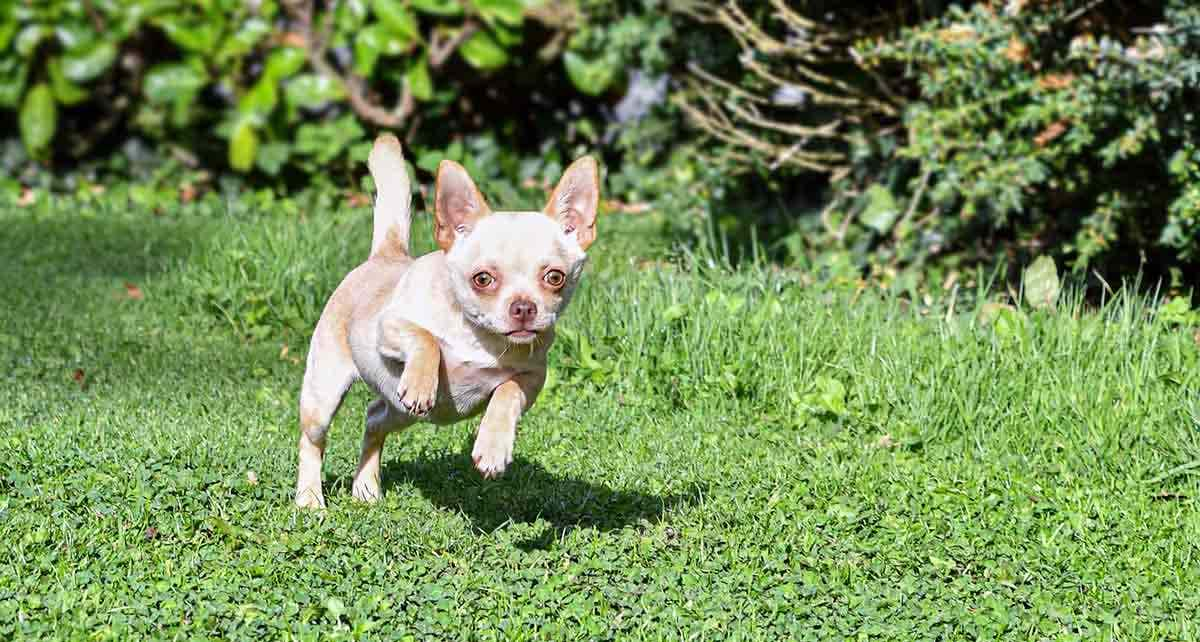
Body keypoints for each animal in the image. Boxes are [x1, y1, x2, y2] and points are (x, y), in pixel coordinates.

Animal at [292, 135, 597, 506]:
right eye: (482, 279)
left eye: (555, 277)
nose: (524, 307)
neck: (480, 337)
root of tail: (386, 254)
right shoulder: (389, 328)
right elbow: (426, 338)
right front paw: (423, 382)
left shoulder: (532, 379)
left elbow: (507, 392)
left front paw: (493, 447)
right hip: (325, 395)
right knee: (313, 441)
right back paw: (310, 498)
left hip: (400, 410)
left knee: (373, 418)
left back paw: (365, 487)